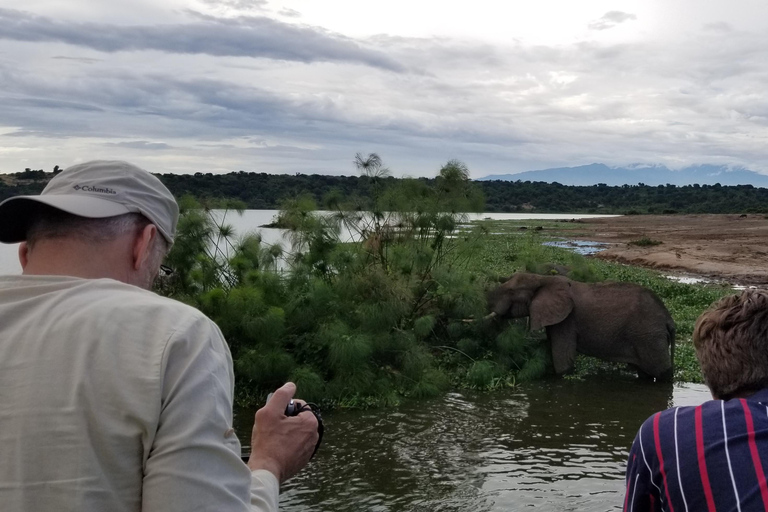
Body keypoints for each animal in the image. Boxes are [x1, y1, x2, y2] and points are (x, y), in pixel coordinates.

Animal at [488, 274, 676, 382]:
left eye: (511, 291)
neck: (542, 278)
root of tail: (669, 319)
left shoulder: (567, 320)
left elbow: (563, 359)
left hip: (649, 336)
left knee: (661, 372)